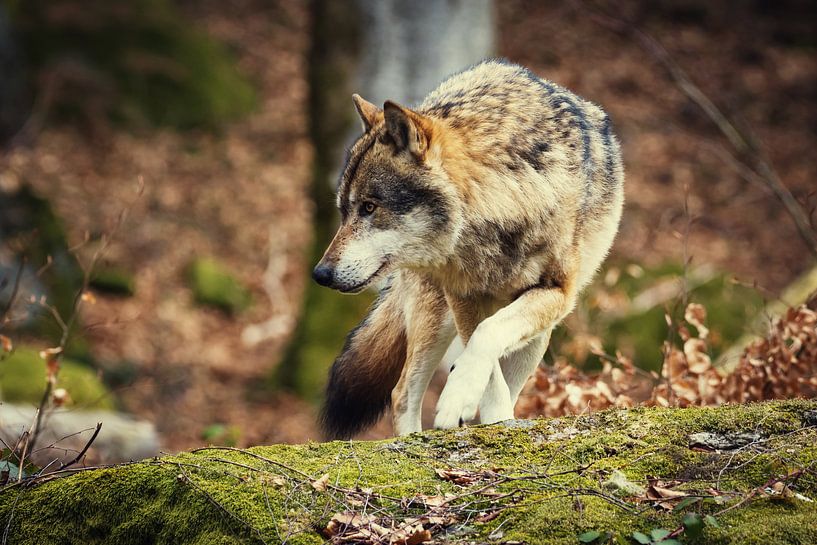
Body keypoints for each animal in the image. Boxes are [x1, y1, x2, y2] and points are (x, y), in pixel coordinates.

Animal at [312, 60, 624, 439]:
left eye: (370, 207)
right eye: (344, 211)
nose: (320, 274)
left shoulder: (557, 292)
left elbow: (486, 338)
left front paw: (467, 402)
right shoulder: (463, 296)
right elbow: (485, 359)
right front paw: (471, 407)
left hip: (538, 335)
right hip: (437, 315)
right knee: (402, 393)